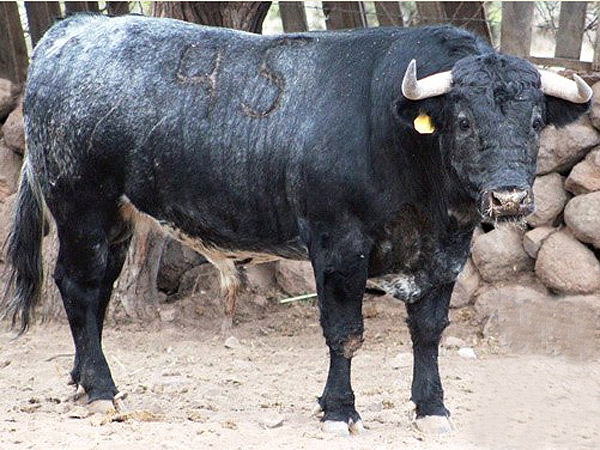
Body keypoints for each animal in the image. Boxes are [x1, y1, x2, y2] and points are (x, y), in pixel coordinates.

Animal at [4, 14, 591, 436]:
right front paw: (339, 411)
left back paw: (82, 381)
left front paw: (432, 409)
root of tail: (71, 30)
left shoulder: (445, 251)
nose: (509, 197)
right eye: (464, 121)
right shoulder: (338, 245)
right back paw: (102, 390)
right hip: (82, 206)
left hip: (117, 218)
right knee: (78, 286)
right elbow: (345, 332)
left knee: (97, 289)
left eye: (536, 121)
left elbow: (428, 330)